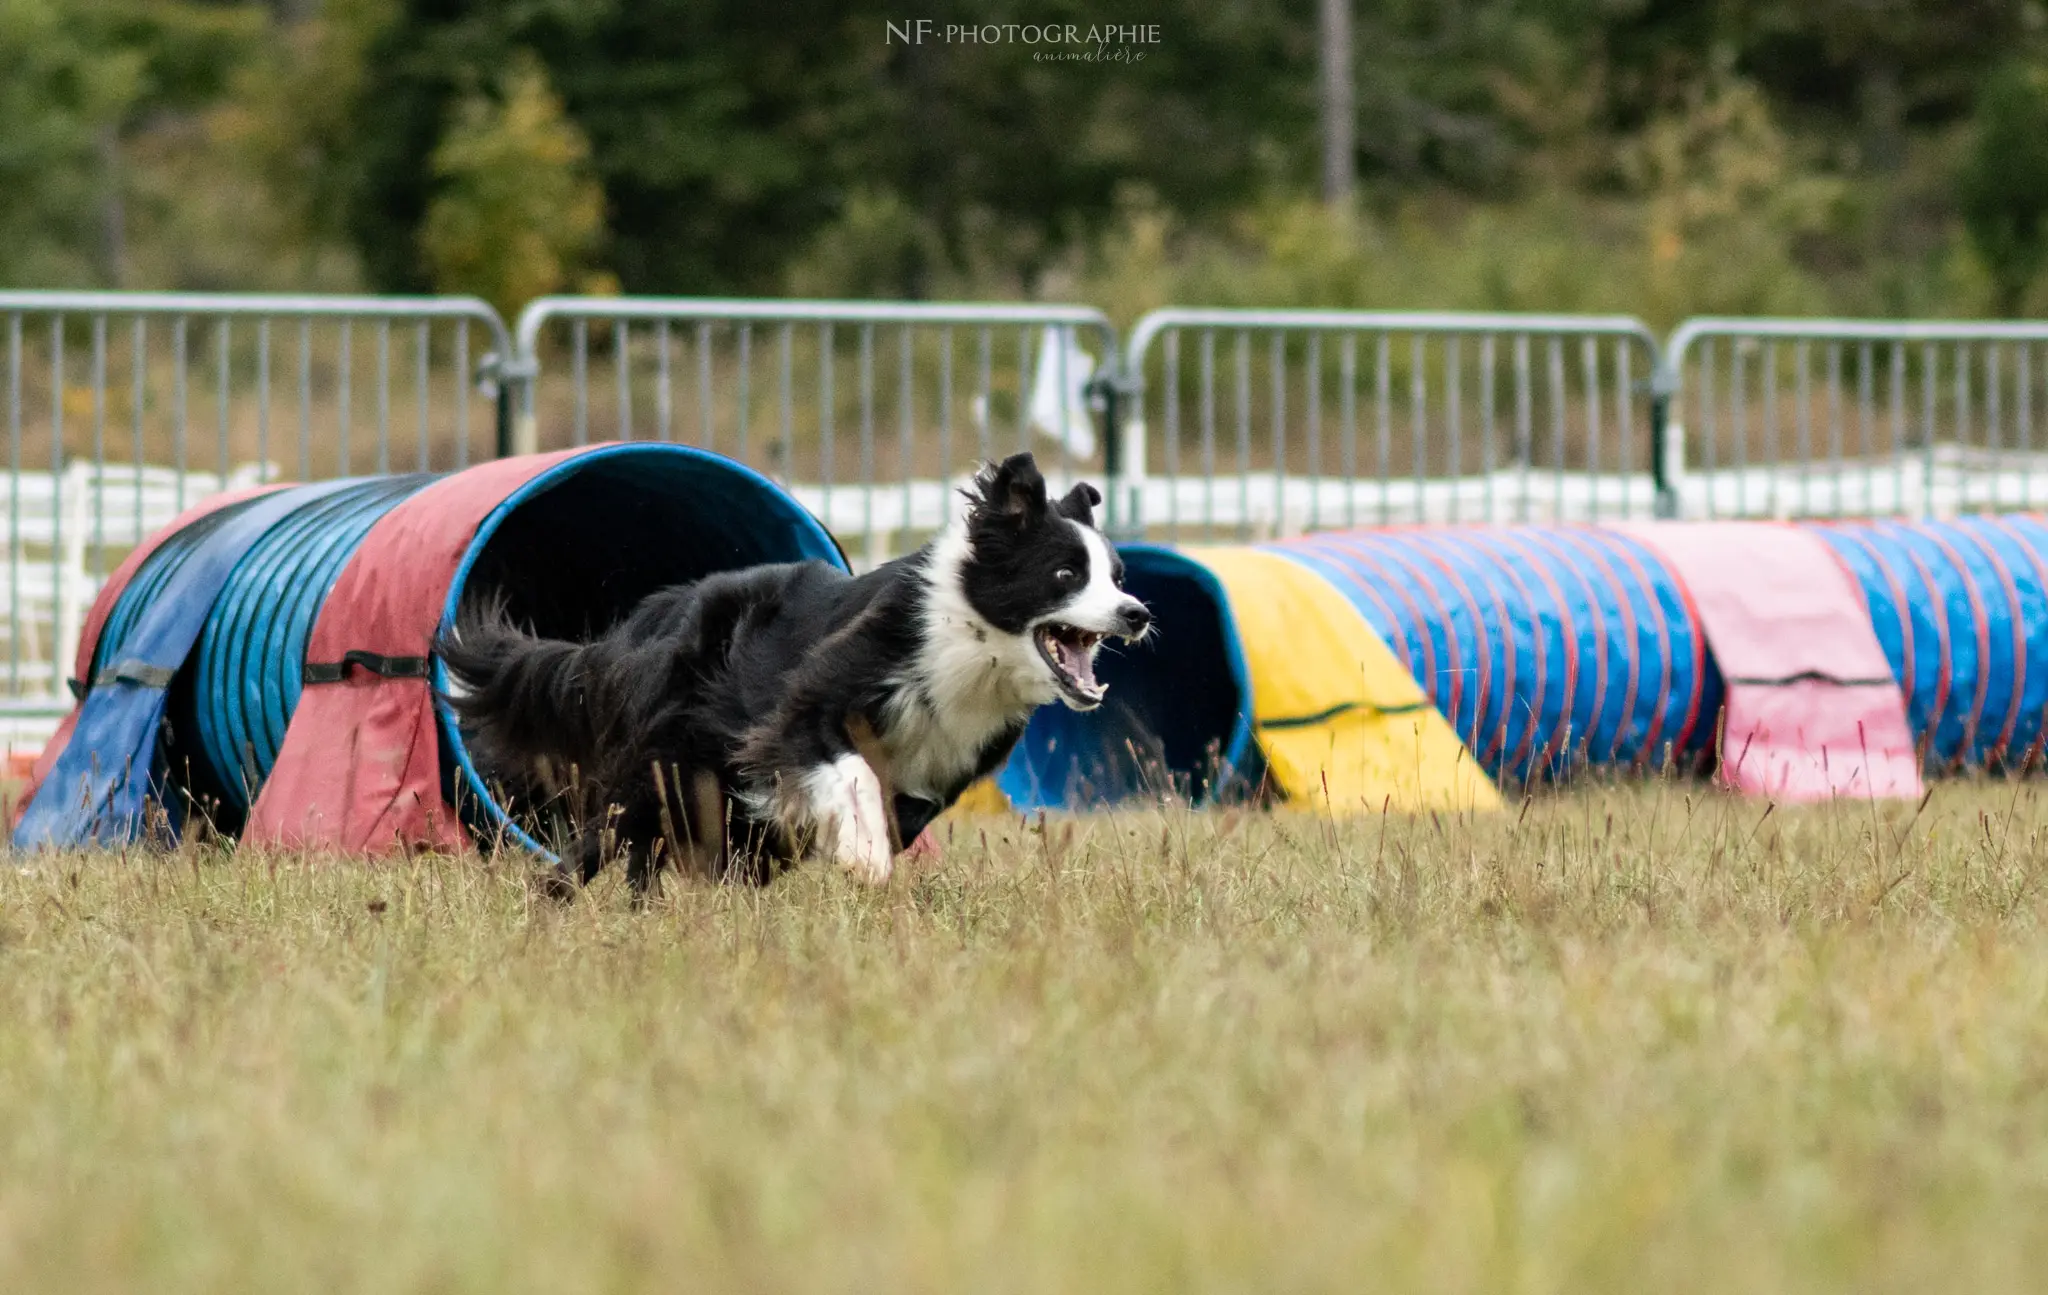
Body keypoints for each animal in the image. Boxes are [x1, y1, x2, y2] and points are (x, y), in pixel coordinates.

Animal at [434, 454, 1155, 889]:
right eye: (1064, 574)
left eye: (1118, 576)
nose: (1138, 613)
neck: (970, 646)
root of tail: (657, 617)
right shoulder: (812, 703)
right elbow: (851, 770)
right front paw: (863, 856)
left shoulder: (940, 766)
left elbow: (897, 807)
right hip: (664, 756)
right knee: (610, 836)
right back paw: (558, 900)